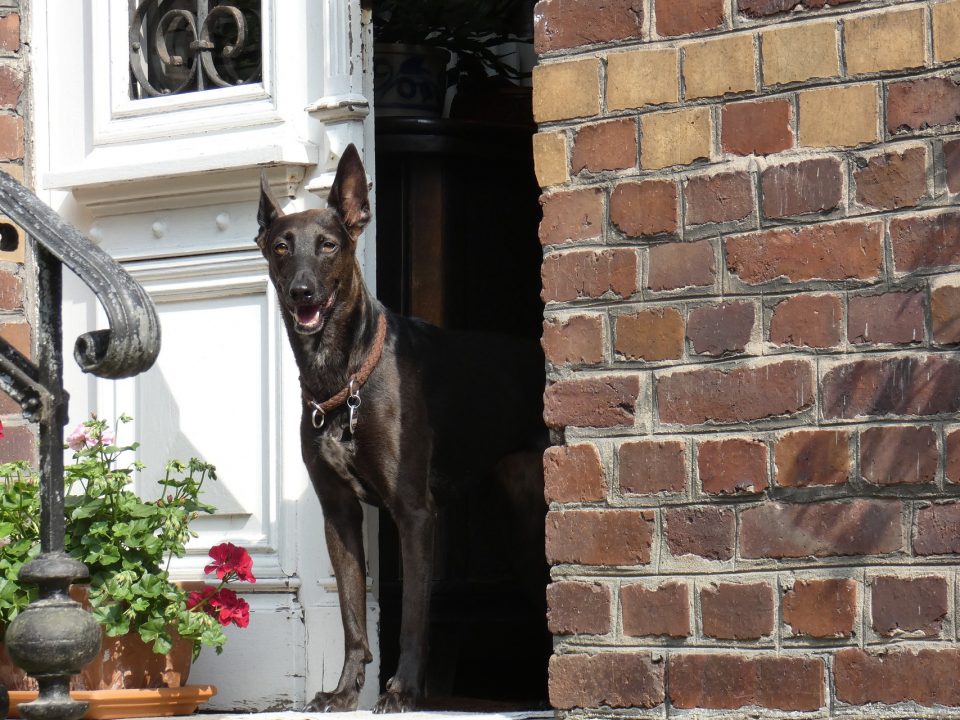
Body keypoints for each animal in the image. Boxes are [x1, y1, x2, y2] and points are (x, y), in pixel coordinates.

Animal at [255, 143, 544, 712]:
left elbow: (412, 616)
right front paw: (345, 691)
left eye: (328, 246)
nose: (302, 292)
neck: (342, 377)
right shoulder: (339, 514)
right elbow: (351, 618)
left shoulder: (414, 514)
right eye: (281, 248)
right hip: (522, 522)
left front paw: (404, 690)